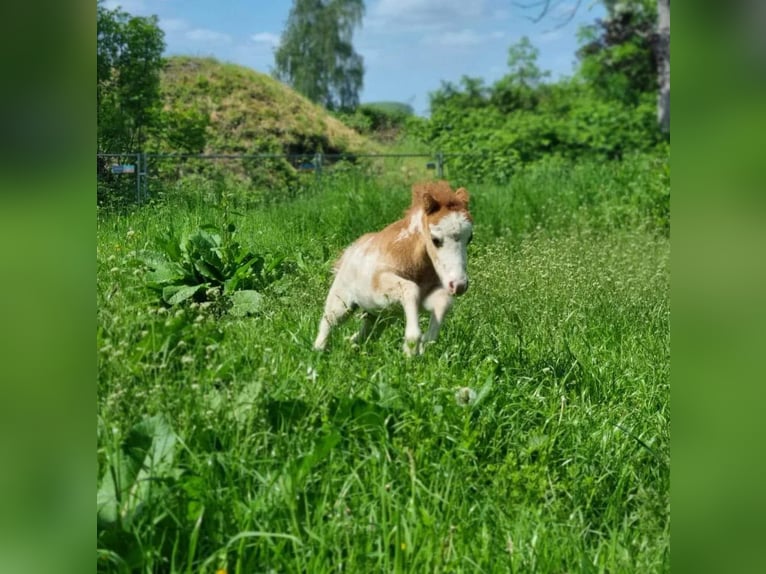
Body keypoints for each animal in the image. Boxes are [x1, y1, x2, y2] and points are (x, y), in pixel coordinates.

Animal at [314, 182, 474, 358]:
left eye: (470, 238)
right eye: (435, 240)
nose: (459, 285)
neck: (416, 267)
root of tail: (351, 251)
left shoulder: (426, 298)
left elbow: (443, 301)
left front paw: (425, 344)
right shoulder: (380, 287)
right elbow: (410, 288)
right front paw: (411, 346)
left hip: (379, 317)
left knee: (360, 336)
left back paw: (351, 348)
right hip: (342, 303)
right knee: (327, 323)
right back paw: (318, 353)